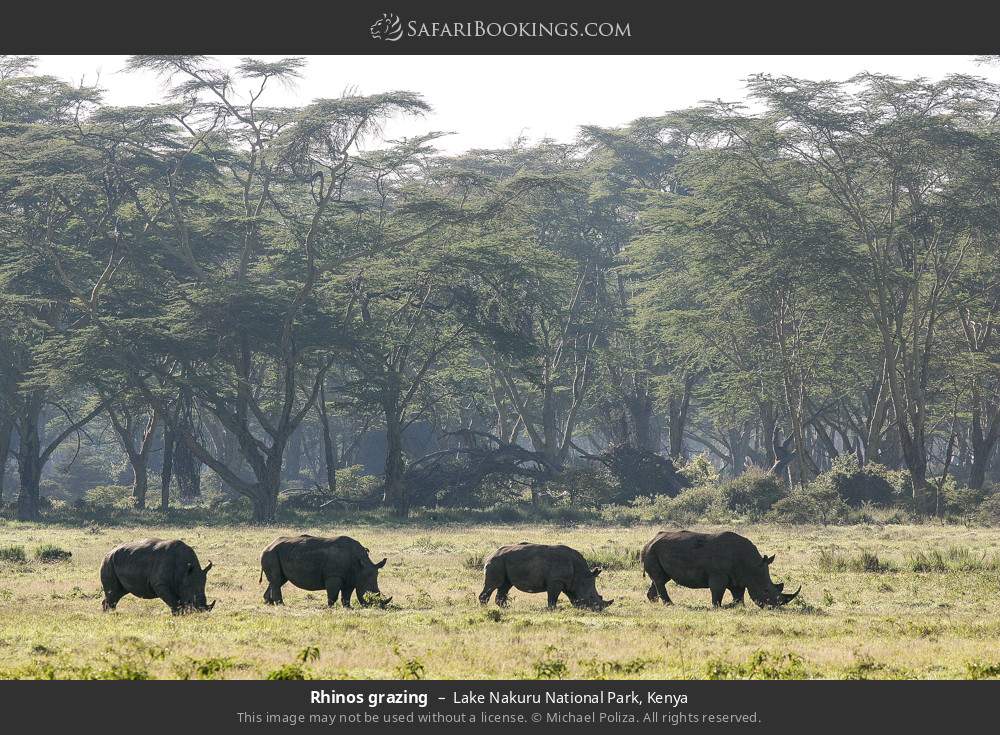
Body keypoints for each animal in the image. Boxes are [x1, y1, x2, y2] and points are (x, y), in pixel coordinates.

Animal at [260, 535, 391, 608]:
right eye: (369, 594)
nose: (377, 607)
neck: (360, 565)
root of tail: (268, 545)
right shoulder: (334, 576)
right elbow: (333, 594)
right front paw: (330, 607)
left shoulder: (351, 578)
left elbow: (346, 595)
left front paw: (348, 607)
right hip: (271, 554)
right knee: (277, 580)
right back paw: (281, 605)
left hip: (278, 553)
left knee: (278, 580)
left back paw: (269, 603)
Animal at [478, 542, 614, 610]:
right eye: (592, 597)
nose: (598, 610)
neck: (581, 575)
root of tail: (491, 554)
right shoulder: (556, 581)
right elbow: (553, 597)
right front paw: (553, 610)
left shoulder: (567, 582)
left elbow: (570, 596)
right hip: (497, 562)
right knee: (493, 585)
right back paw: (485, 608)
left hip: (503, 562)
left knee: (505, 585)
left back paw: (507, 608)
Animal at [641, 530, 800, 608]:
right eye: (765, 590)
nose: (774, 607)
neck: (752, 565)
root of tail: (649, 541)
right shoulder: (718, 575)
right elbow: (717, 592)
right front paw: (718, 607)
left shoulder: (739, 577)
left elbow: (739, 595)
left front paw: (736, 606)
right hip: (652, 551)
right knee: (660, 579)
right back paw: (670, 605)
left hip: (656, 551)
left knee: (661, 578)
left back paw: (654, 602)